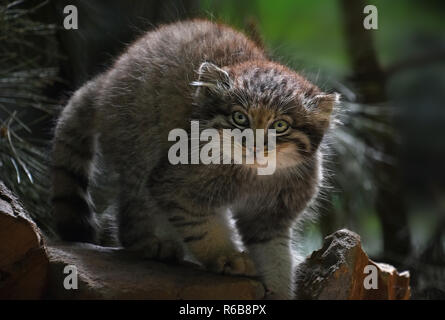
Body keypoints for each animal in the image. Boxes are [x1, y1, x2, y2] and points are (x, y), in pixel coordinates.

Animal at [52, 18, 336, 298]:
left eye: (280, 126)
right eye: (239, 118)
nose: (254, 145)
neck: (255, 175)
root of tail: (106, 78)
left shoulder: (272, 217)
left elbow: (276, 257)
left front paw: (277, 288)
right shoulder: (175, 185)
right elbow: (202, 227)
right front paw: (226, 256)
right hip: (139, 147)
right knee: (133, 207)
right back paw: (150, 243)